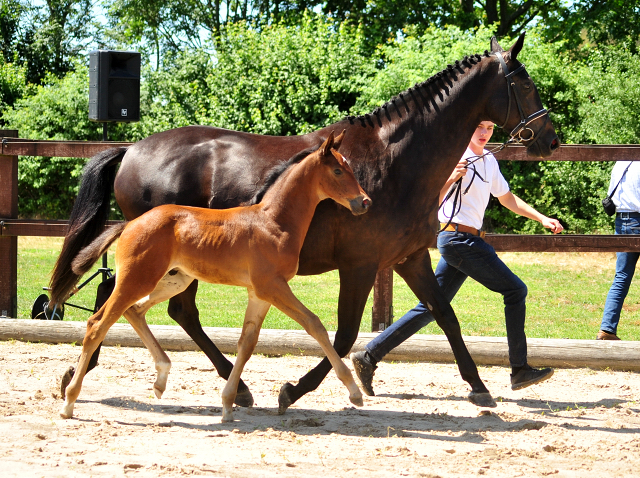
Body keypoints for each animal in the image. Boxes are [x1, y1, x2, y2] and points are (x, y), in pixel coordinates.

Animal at [61, 132, 370, 422]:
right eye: (338, 170)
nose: (364, 202)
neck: (273, 222)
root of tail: (129, 224)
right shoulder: (272, 286)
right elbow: (315, 324)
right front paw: (354, 392)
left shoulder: (259, 293)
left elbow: (246, 343)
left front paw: (229, 403)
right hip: (138, 279)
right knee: (97, 323)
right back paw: (69, 401)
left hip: (174, 280)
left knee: (135, 312)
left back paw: (161, 379)